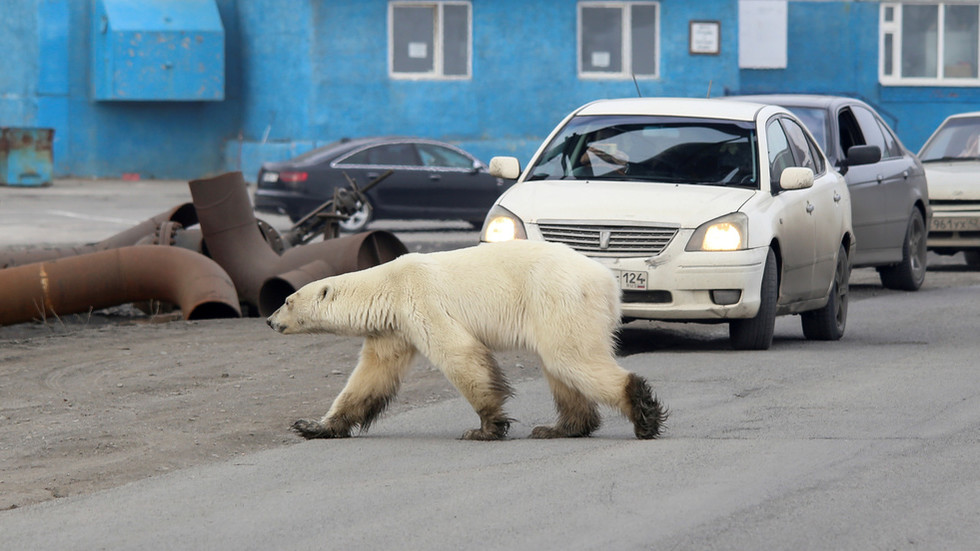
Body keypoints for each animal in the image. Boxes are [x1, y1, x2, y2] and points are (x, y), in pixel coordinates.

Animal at [266, 239, 668, 442]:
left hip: (558, 297)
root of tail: (608, 280)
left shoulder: (420, 300)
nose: (269, 320)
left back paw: (643, 415)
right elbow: (371, 375)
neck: (388, 285)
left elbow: (460, 354)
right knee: (560, 368)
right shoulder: (392, 328)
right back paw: (559, 428)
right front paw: (313, 426)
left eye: (287, 300)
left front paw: (485, 428)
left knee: (570, 358)